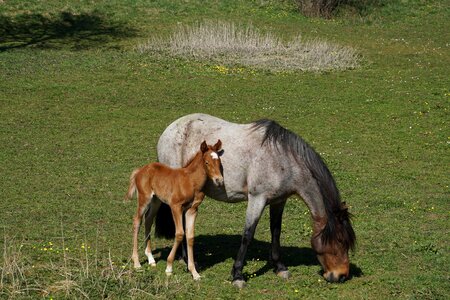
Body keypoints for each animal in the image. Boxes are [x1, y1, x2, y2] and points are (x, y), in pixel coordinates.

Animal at [125, 139, 223, 280]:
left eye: (219, 161)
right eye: (206, 162)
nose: (219, 180)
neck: (191, 181)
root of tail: (140, 170)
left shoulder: (192, 209)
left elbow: (190, 237)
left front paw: (194, 273)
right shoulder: (175, 207)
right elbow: (180, 233)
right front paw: (169, 267)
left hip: (156, 201)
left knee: (148, 220)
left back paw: (150, 259)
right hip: (144, 198)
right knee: (137, 221)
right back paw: (137, 262)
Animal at [143, 113, 356, 288]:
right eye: (339, 240)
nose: (341, 275)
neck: (282, 159)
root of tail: (170, 129)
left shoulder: (279, 201)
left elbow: (276, 232)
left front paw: (280, 267)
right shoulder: (257, 199)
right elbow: (247, 234)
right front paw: (237, 275)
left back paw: (184, 260)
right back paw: (189, 262)